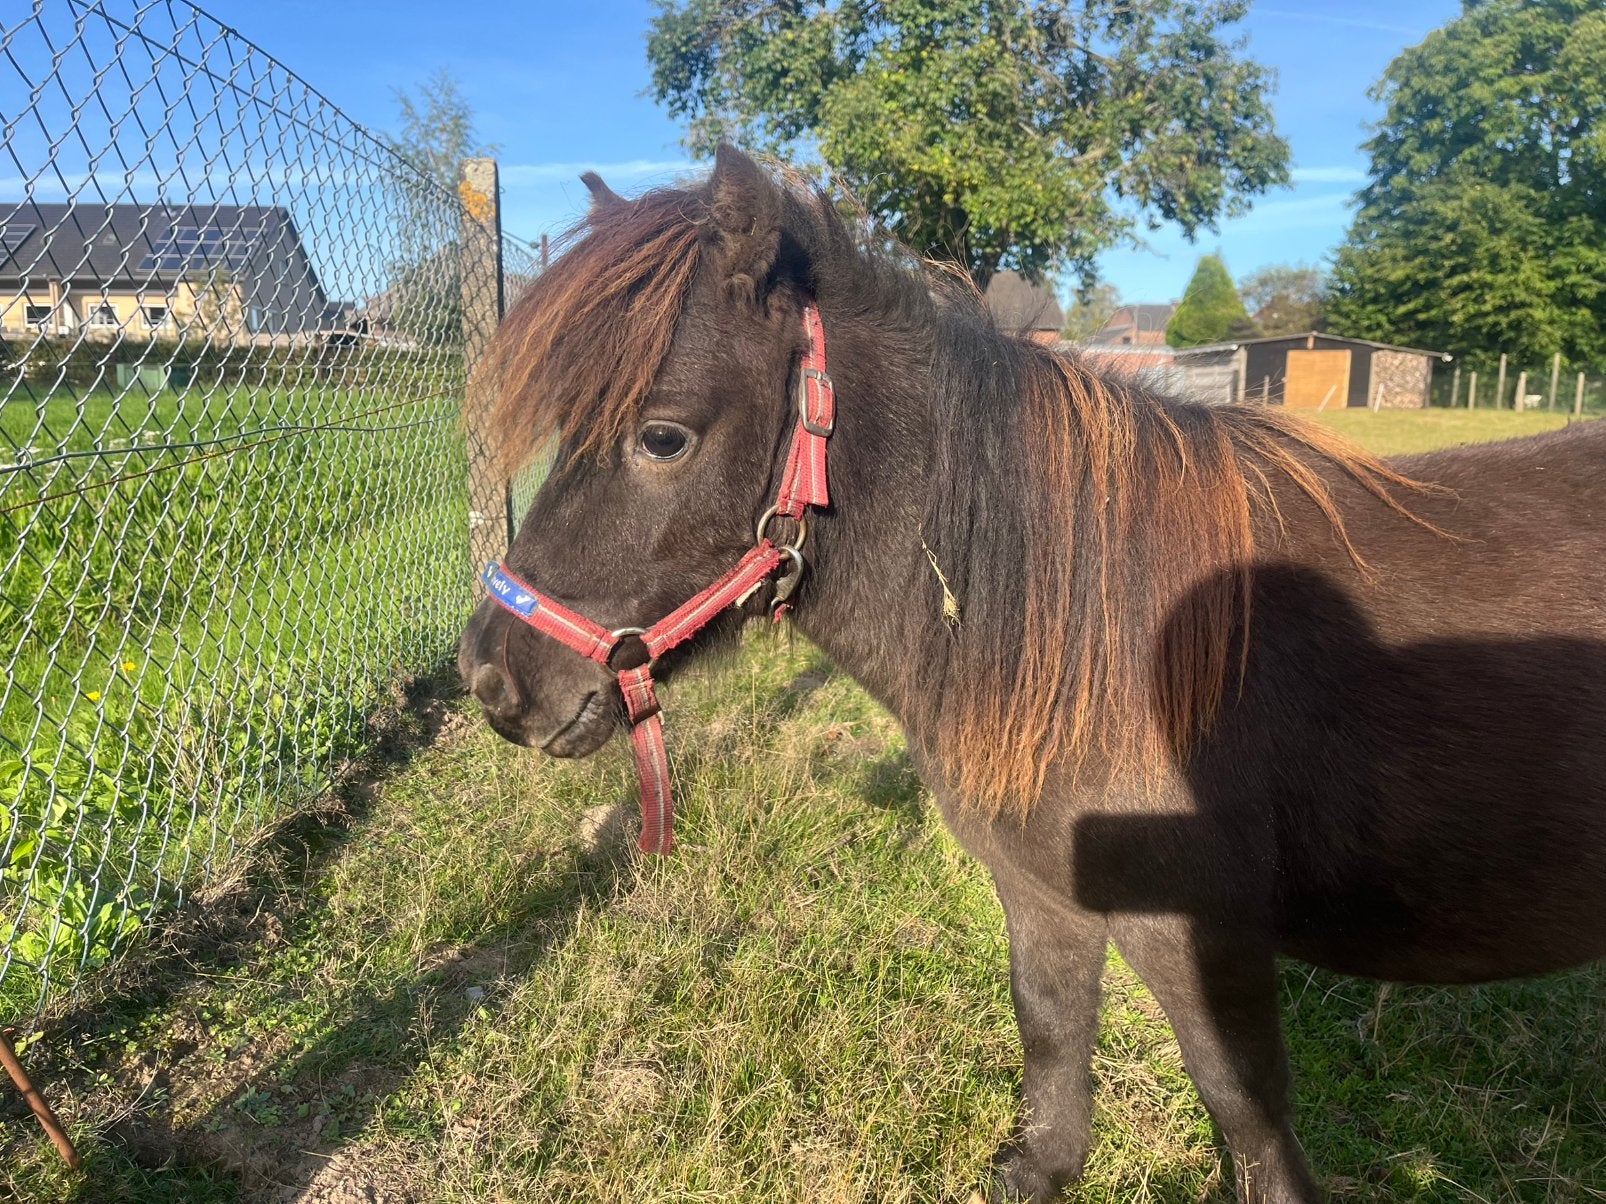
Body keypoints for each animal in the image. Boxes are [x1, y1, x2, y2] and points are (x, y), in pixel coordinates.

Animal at [456, 146, 1606, 1202]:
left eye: (662, 437)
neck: (1099, 624)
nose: (490, 679)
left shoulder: (1196, 937)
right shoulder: (1042, 895)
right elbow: (1051, 1040)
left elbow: (1248, 1119)